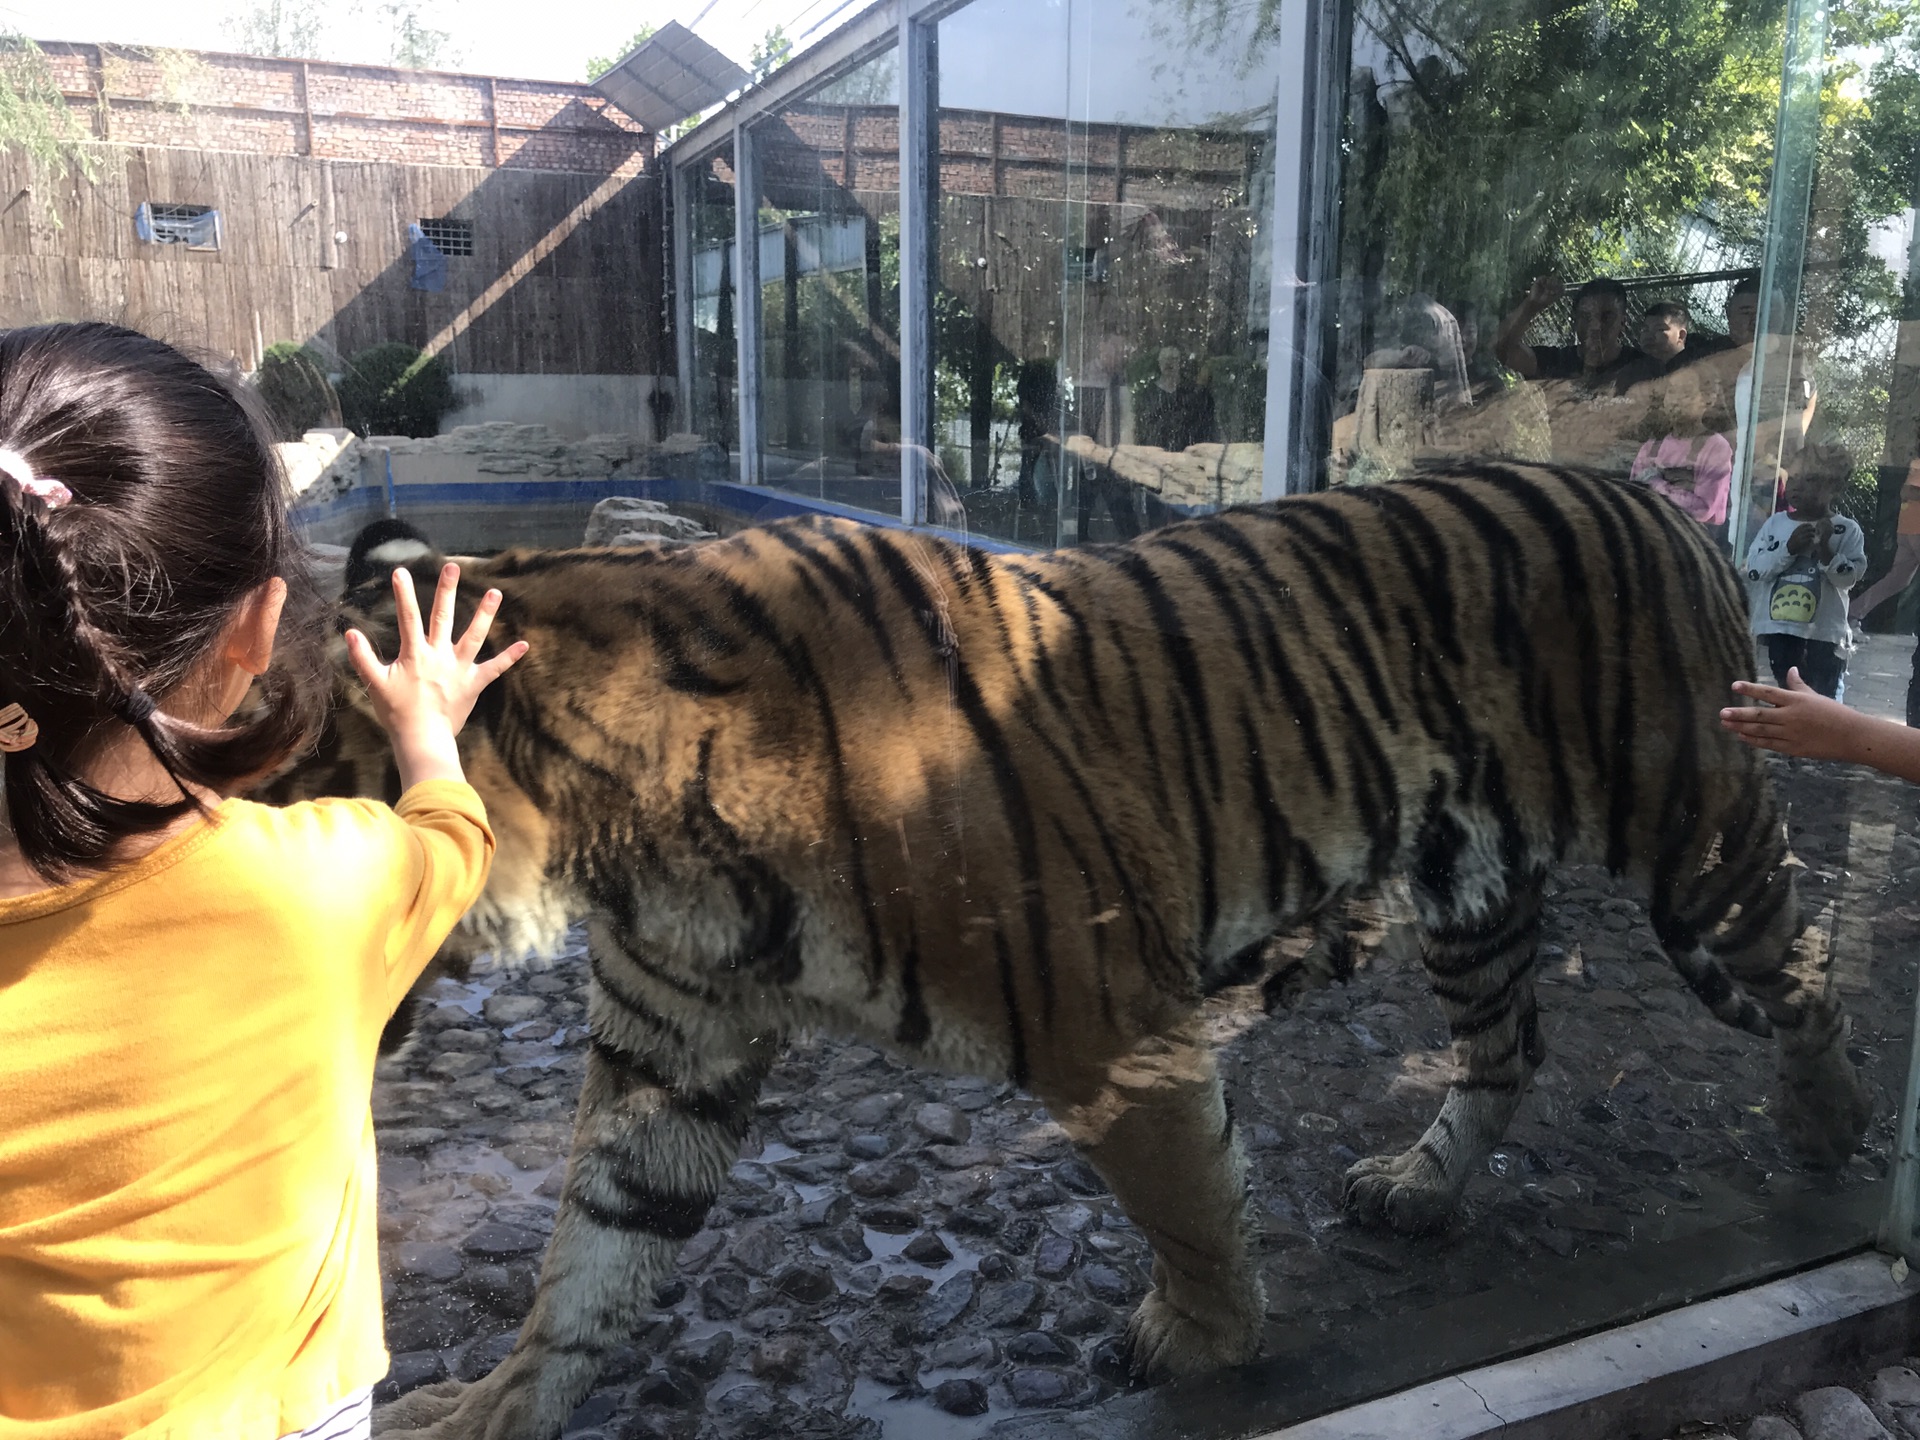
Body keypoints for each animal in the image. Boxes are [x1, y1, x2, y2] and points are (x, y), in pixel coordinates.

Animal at [280, 462, 1858, 1440]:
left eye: (300, 803)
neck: (639, 845)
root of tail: (1663, 505)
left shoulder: (1111, 1018)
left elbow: (1190, 1199)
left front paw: (1206, 1345)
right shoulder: (673, 1052)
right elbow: (592, 1261)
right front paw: (494, 1407)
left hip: (1698, 853)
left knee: (1809, 977)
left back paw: (1825, 1141)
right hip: (1470, 889)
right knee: (1511, 1045)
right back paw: (1418, 1186)